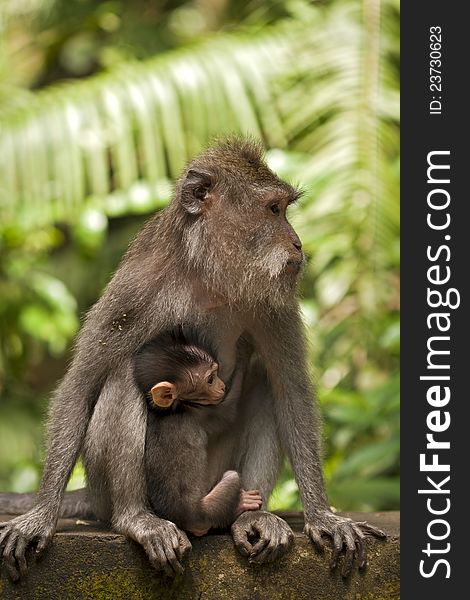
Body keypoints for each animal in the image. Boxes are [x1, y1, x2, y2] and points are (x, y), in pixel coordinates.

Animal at [134, 330, 262, 536]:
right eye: (210, 379)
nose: (222, 386)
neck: (173, 409)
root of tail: (189, 521)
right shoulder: (200, 413)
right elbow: (228, 413)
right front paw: (244, 347)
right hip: (207, 510)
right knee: (231, 478)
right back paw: (240, 504)